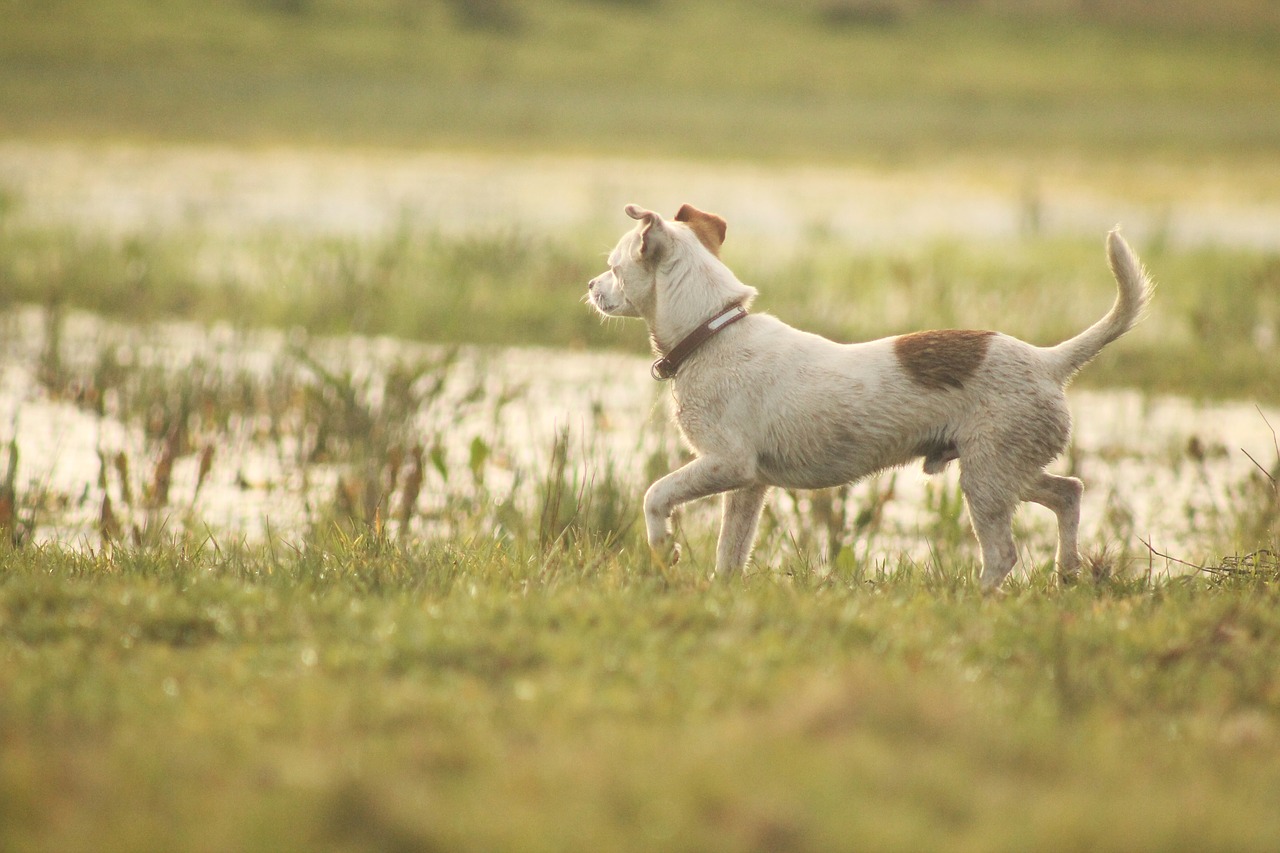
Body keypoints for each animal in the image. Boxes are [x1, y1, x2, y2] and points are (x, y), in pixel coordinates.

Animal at [586, 202, 1157, 589]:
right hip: (1007, 469)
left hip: (987, 480)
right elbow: (732, 551)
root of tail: (1048, 361)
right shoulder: (749, 486)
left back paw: (977, 601)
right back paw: (1068, 572)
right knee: (1069, 491)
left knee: (1002, 555)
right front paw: (720, 592)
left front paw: (664, 548)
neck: (711, 332)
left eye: (613, 267)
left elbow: (655, 494)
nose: (590, 286)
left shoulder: (728, 464)